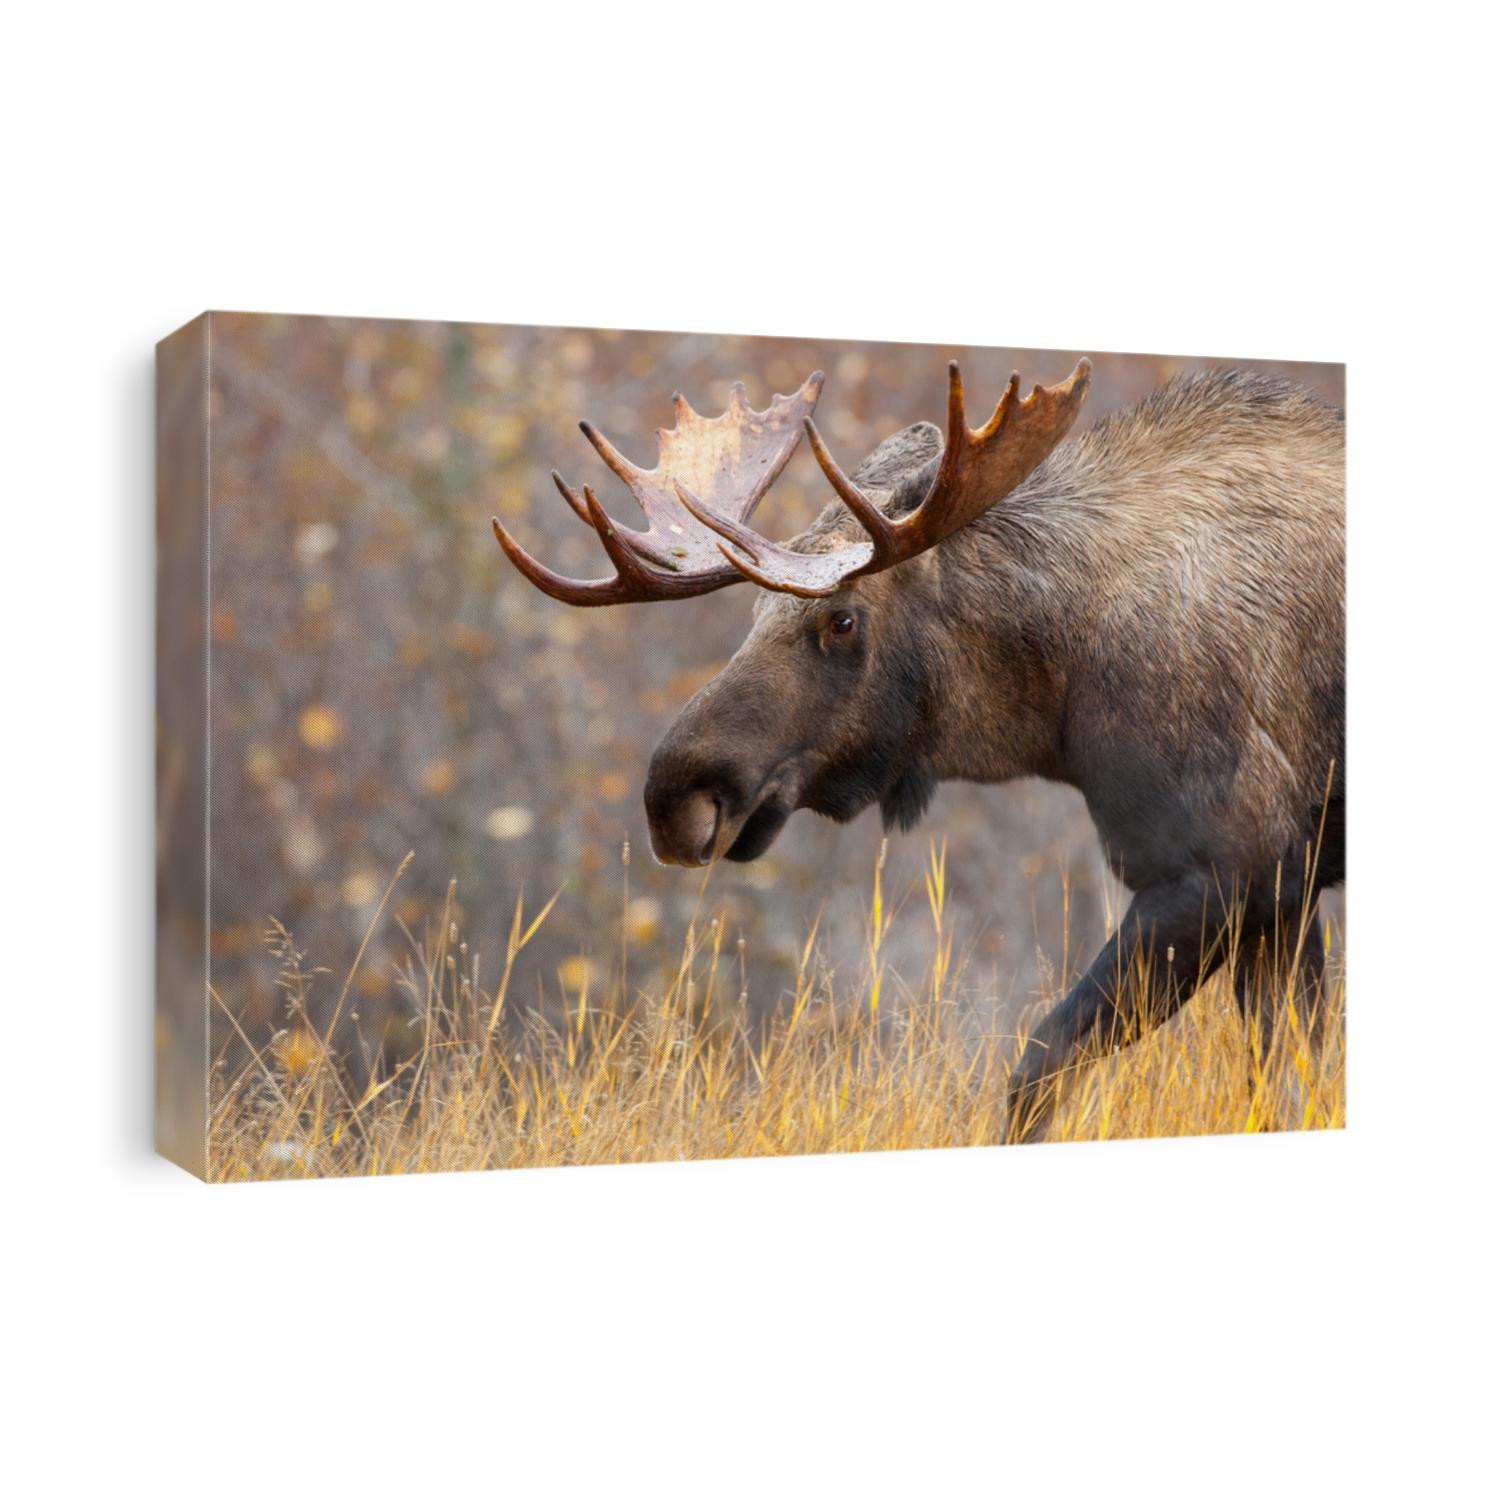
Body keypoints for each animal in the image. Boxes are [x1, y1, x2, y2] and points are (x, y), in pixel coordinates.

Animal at [491, 355, 1345, 1142]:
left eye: (841, 619)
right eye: (753, 611)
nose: (675, 798)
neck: (1059, 696)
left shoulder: (1221, 868)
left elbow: (1040, 1064)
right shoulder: (1281, 895)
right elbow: (1288, 1081)